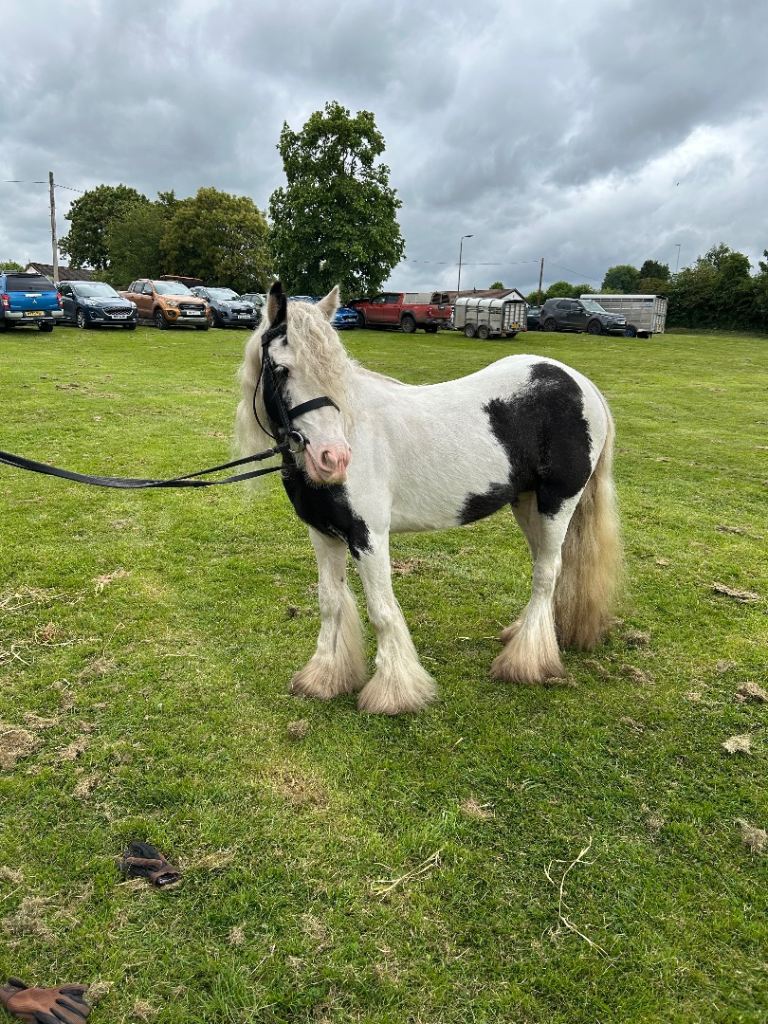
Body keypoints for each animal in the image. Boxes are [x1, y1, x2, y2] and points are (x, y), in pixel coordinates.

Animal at [235, 281, 621, 715]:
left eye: (335, 370)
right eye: (281, 370)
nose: (332, 458)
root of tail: (581, 384)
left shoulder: (369, 537)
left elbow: (381, 610)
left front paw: (395, 693)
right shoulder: (323, 534)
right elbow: (330, 602)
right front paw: (323, 678)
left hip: (558, 502)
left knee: (547, 573)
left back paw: (525, 662)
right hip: (527, 503)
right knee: (546, 566)